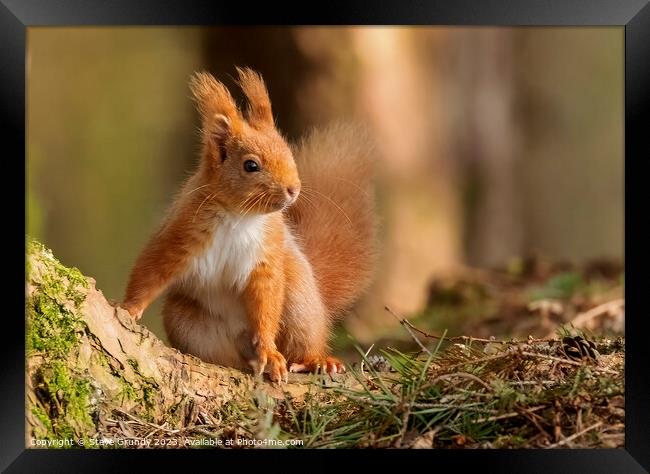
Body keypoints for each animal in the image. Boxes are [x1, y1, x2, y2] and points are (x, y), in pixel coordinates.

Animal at [120, 67, 374, 382]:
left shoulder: (267, 255)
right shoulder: (180, 233)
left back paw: (315, 359)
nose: (293, 189)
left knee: (302, 340)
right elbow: (151, 271)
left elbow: (265, 303)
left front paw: (269, 351)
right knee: (223, 355)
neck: (239, 216)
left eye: (289, 153)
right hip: (187, 322)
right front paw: (128, 308)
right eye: (250, 166)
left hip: (299, 303)